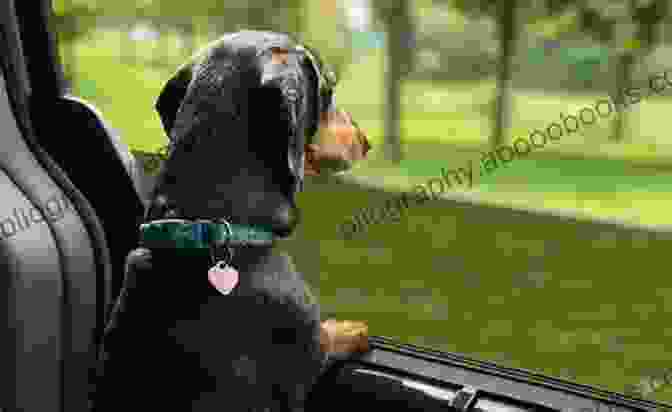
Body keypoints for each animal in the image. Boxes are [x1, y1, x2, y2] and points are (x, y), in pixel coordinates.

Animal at [96, 30, 372, 410]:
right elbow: (331, 337)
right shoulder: (309, 353)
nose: (366, 141)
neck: (204, 224)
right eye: (329, 87)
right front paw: (354, 328)